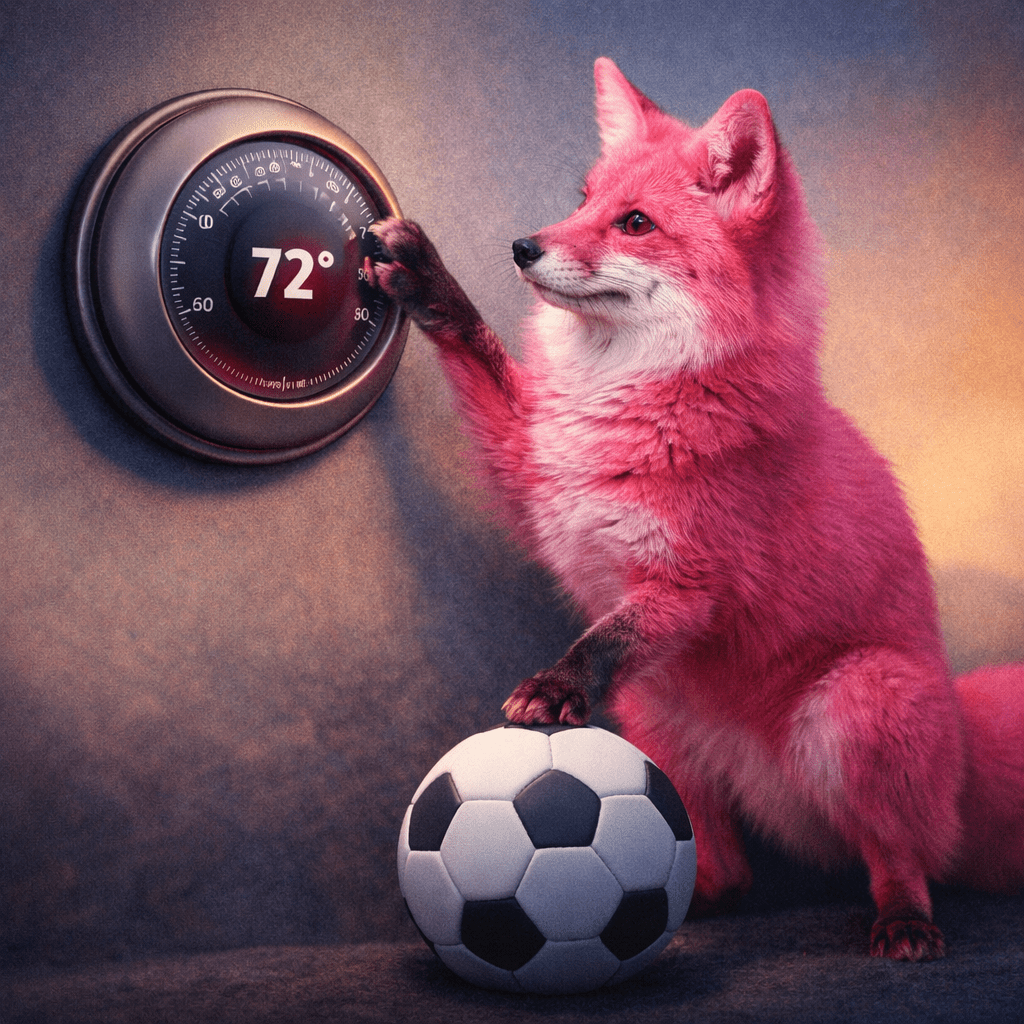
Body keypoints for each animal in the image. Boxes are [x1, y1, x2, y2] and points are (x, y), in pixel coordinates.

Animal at [369, 57, 1024, 961]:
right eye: (583, 199)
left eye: (636, 223)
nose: (524, 246)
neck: (632, 404)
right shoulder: (532, 480)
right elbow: (476, 352)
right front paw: (430, 281)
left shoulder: (696, 585)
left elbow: (605, 636)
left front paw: (555, 684)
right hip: (656, 721)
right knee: (723, 871)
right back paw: (690, 913)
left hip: (860, 699)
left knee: (902, 852)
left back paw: (904, 920)